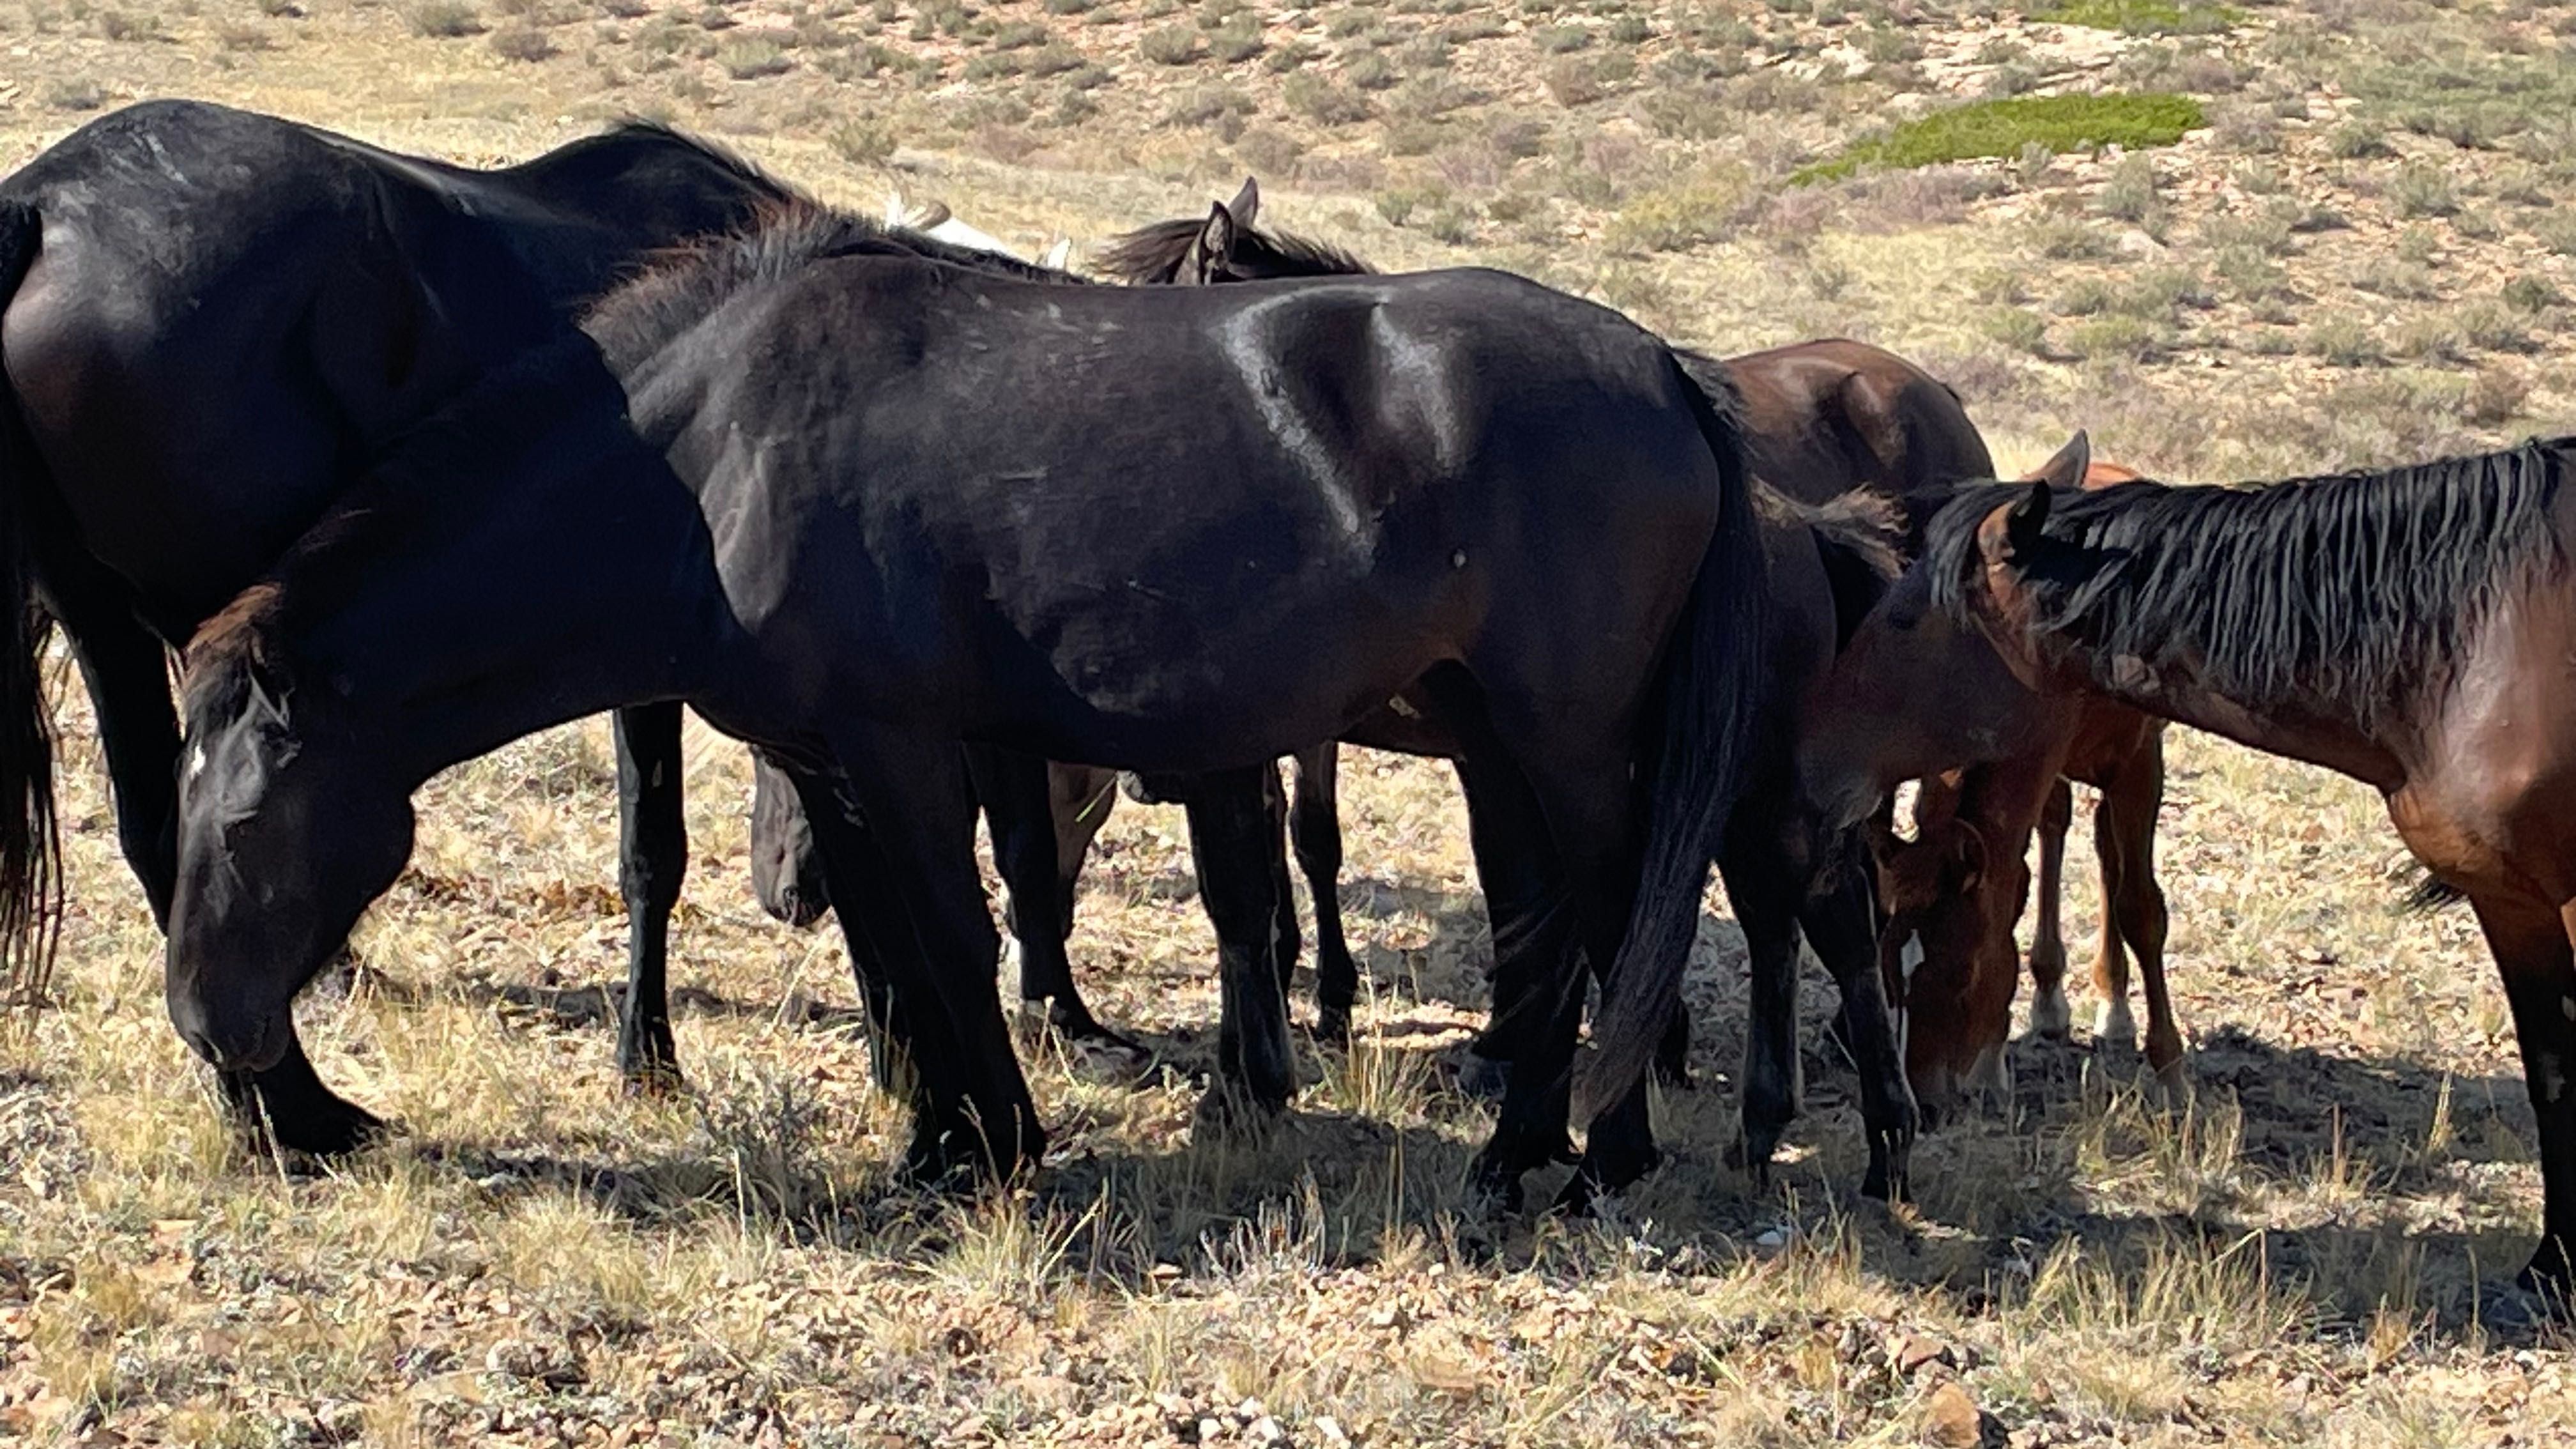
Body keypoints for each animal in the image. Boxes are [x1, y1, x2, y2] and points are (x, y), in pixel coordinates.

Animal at [0, 104, 788, 1139]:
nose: (792, 891)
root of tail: (44, 204)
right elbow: (654, 850)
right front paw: (648, 1057)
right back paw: (296, 1104)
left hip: (107, 625)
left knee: (158, 828)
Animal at [161, 197, 1772, 1201]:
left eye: (243, 829)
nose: (206, 1025)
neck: (708, 458)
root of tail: (1665, 368)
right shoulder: (827, 761)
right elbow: (897, 947)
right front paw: (934, 1140)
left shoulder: (901, 746)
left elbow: (946, 934)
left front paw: (995, 1144)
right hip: (1495, 741)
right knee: (1552, 932)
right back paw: (1531, 1155)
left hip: (1567, 743)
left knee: (1609, 915)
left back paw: (1585, 1161)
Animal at [1865, 433, 2184, 1108]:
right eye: (1887, 972)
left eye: (1958, 969)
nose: (1925, 1095)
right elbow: (2015, 878)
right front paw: (1993, 1058)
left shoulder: (2140, 763)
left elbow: (2142, 906)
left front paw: (2170, 1069)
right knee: (2062, 828)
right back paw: (2054, 997)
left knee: (2110, 852)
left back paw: (2116, 1010)